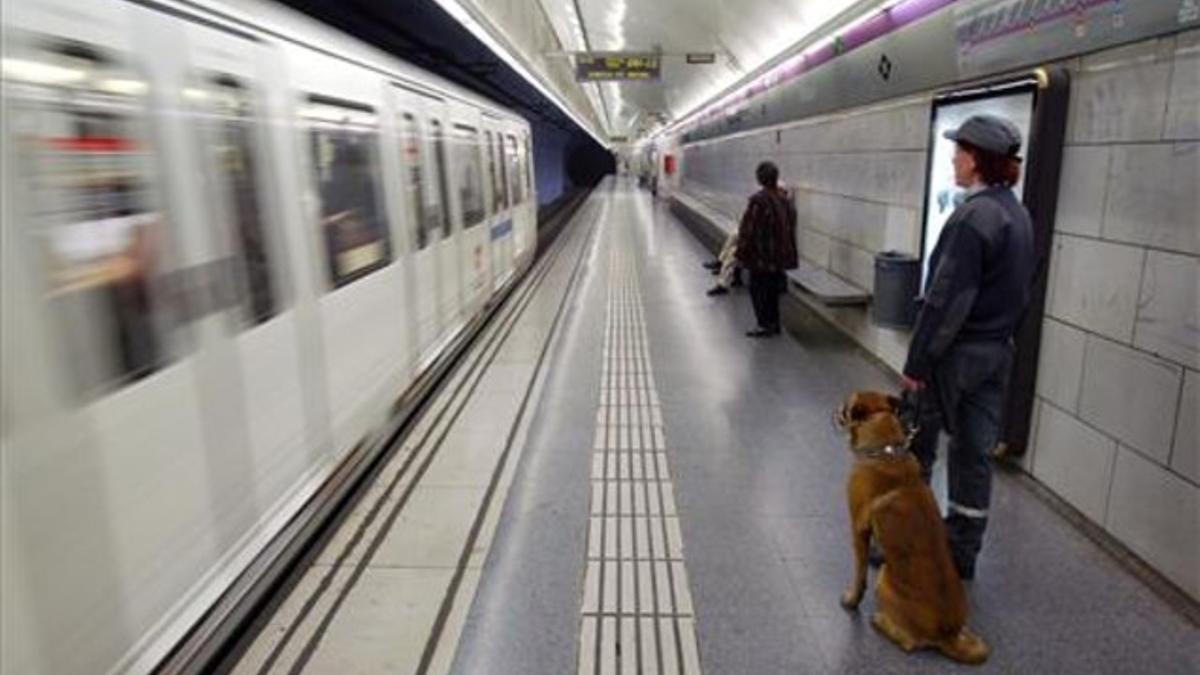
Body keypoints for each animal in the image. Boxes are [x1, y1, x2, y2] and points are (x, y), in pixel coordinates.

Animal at [830, 389, 988, 662]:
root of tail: (948, 635)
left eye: (846, 406)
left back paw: (881, 621)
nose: (834, 410)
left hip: (884, 578)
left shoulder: (858, 530)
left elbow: (860, 575)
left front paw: (852, 600)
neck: (885, 451)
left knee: (909, 643)